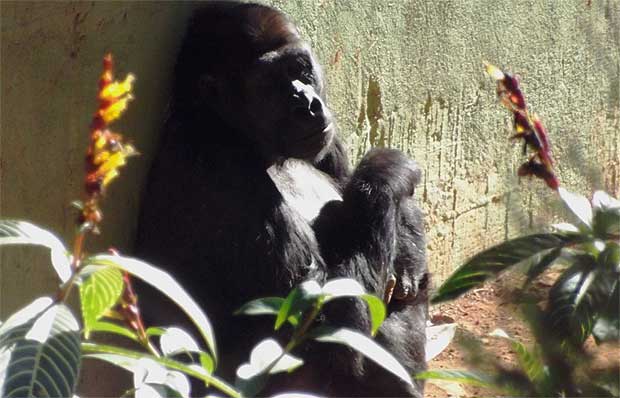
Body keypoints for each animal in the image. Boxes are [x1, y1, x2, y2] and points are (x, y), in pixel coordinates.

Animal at [134, 1, 428, 396]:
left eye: (300, 69)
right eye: (272, 85)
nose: (308, 104)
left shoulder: (329, 138)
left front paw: (410, 247)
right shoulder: (224, 173)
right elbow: (324, 325)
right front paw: (386, 172)